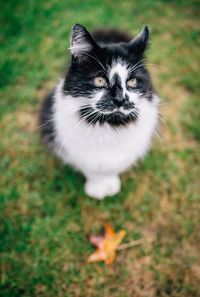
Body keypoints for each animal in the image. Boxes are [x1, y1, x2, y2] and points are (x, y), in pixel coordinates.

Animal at [39, 23, 159, 199]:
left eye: (132, 82)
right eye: (100, 80)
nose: (120, 100)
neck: (108, 125)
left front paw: (110, 186)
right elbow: (92, 169)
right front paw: (97, 189)